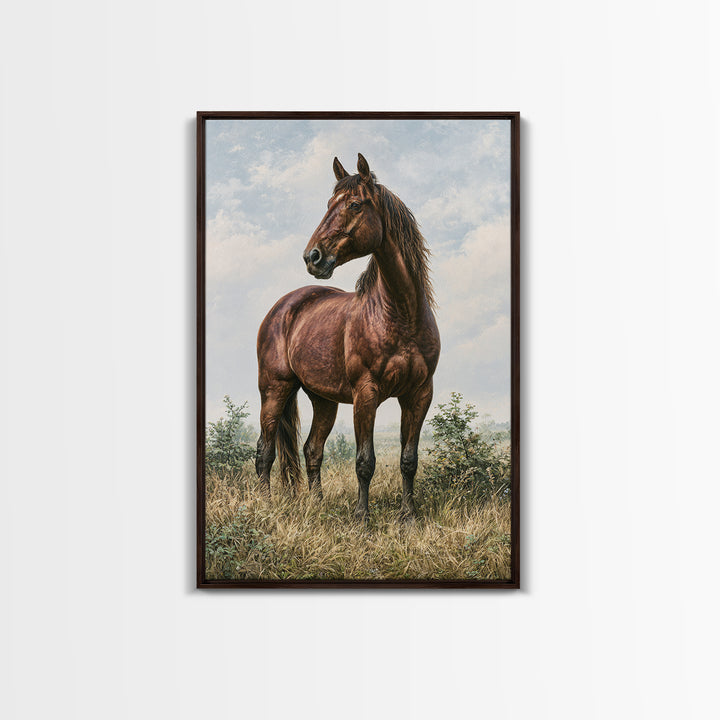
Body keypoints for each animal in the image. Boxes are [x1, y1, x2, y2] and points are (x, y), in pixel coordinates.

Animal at [255, 153, 440, 522]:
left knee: (312, 450)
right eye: (329, 204)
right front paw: (362, 520)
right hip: (274, 389)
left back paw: (317, 506)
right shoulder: (366, 394)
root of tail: (282, 308)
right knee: (265, 451)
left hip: (322, 399)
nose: (312, 257)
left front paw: (409, 517)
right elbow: (364, 462)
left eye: (355, 204)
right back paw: (266, 507)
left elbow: (409, 460)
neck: (400, 314)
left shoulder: (419, 394)